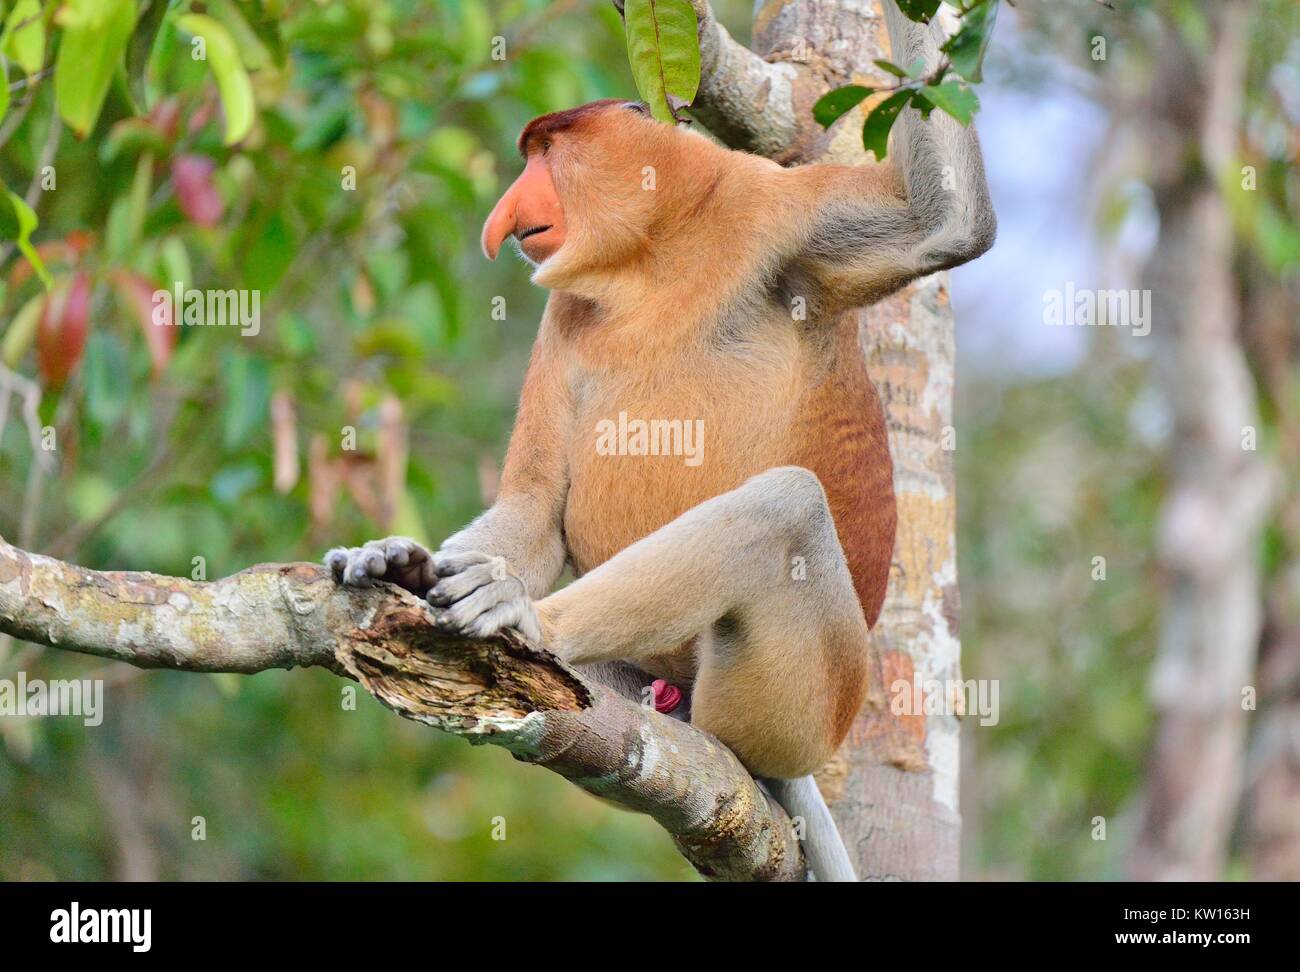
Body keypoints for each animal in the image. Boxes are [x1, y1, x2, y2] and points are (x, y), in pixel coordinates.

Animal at [325, 1, 994, 882]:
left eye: (549, 152)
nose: (506, 214)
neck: (655, 255)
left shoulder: (776, 212)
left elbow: (942, 227)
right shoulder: (564, 313)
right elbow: (535, 507)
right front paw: (395, 555)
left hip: (809, 701)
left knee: (785, 509)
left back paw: (529, 622)